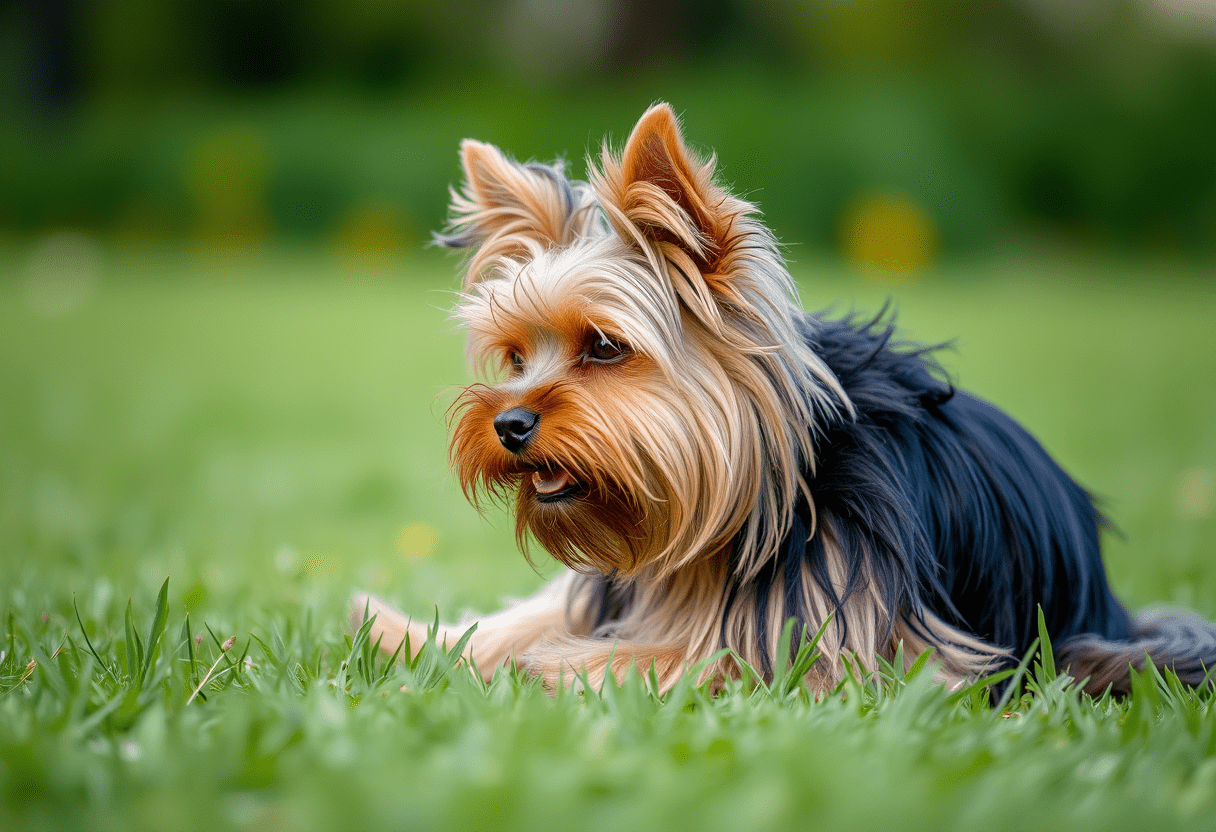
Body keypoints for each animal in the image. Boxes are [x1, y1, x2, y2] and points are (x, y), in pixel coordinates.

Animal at [347, 99, 1211, 695]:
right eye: (517, 355)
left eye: (604, 347)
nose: (509, 421)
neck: (761, 492)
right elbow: (544, 614)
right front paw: (409, 635)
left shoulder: (866, 650)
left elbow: (708, 653)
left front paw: (548, 667)